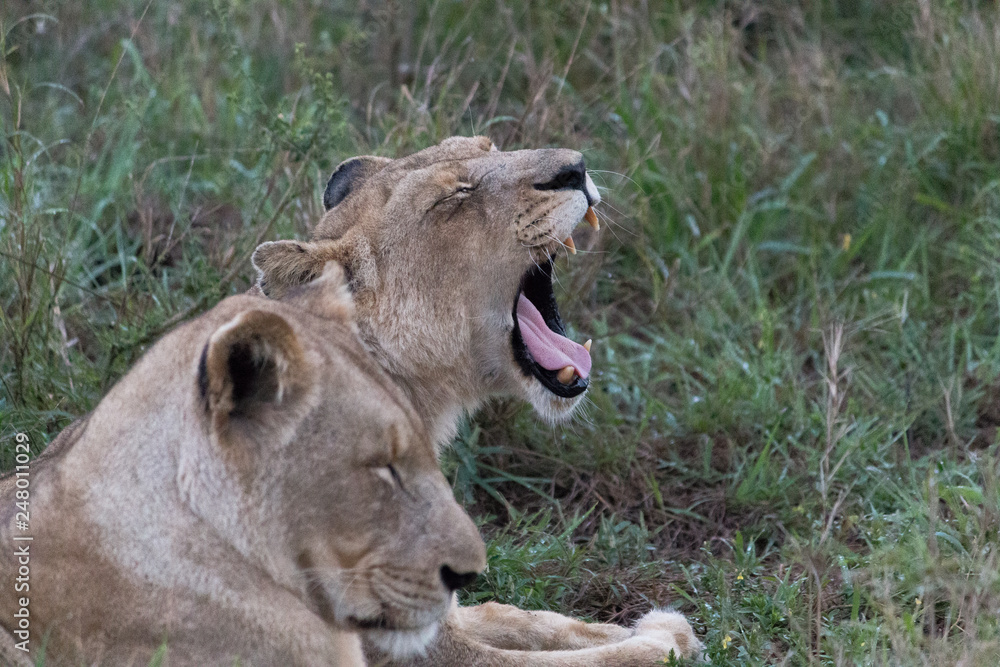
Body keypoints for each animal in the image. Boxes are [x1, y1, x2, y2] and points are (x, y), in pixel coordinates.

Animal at [251, 136, 702, 663]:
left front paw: (636, 628)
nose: (575, 168)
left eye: (489, 146)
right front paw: (663, 637)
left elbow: (524, 618)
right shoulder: (415, 644)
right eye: (454, 197)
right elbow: (578, 660)